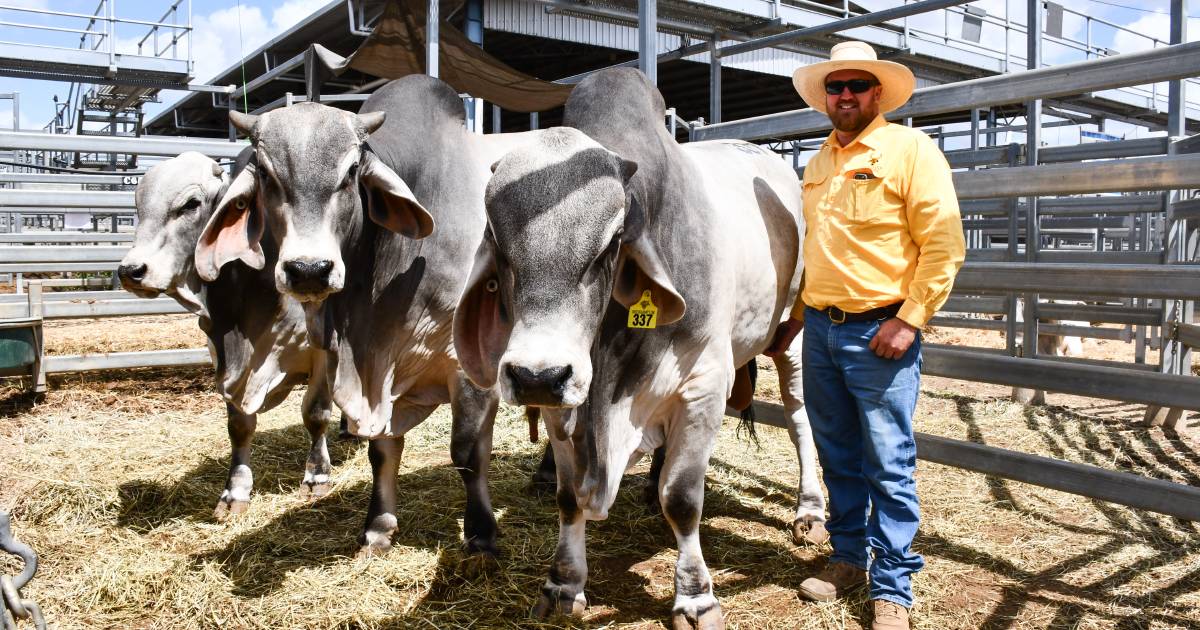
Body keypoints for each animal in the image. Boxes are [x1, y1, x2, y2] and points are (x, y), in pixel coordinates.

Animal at [117, 150, 333, 518]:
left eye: (191, 204)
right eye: (138, 205)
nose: (131, 270)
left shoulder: (322, 353)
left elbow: (315, 414)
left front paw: (317, 476)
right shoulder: (224, 361)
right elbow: (239, 427)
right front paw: (235, 492)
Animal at [451, 66, 825, 624]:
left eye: (611, 244)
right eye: (497, 244)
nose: (536, 375)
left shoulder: (704, 385)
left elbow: (684, 498)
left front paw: (695, 596)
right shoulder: (567, 400)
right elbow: (568, 497)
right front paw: (563, 583)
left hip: (791, 335)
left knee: (801, 417)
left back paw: (810, 508)